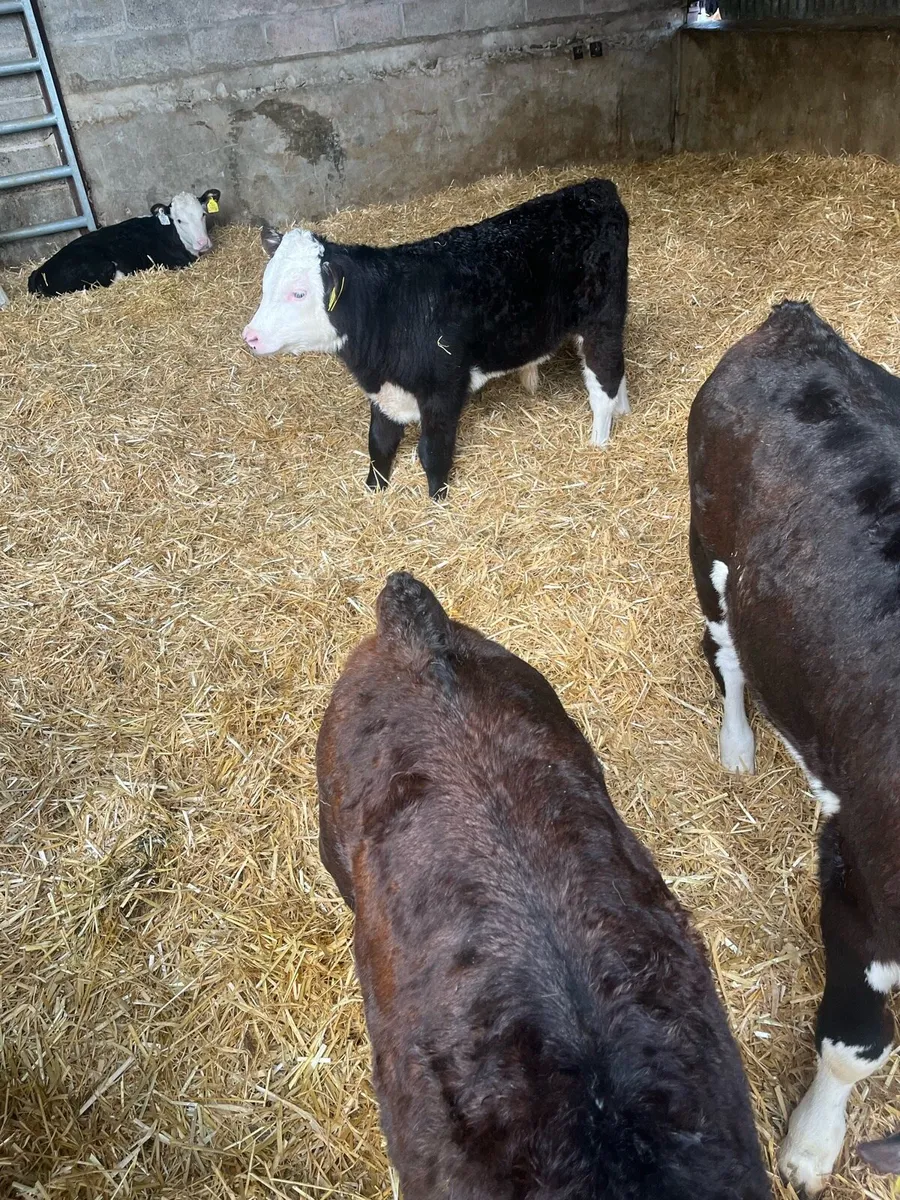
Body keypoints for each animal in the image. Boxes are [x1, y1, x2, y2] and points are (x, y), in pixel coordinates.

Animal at [243, 179, 629, 499]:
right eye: (266, 284)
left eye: (298, 293)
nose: (251, 336)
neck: (391, 310)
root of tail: (596, 188)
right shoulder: (385, 391)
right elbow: (379, 444)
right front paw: (374, 492)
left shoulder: (444, 389)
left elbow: (432, 451)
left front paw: (438, 501)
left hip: (602, 320)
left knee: (604, 380)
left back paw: (599, 442)